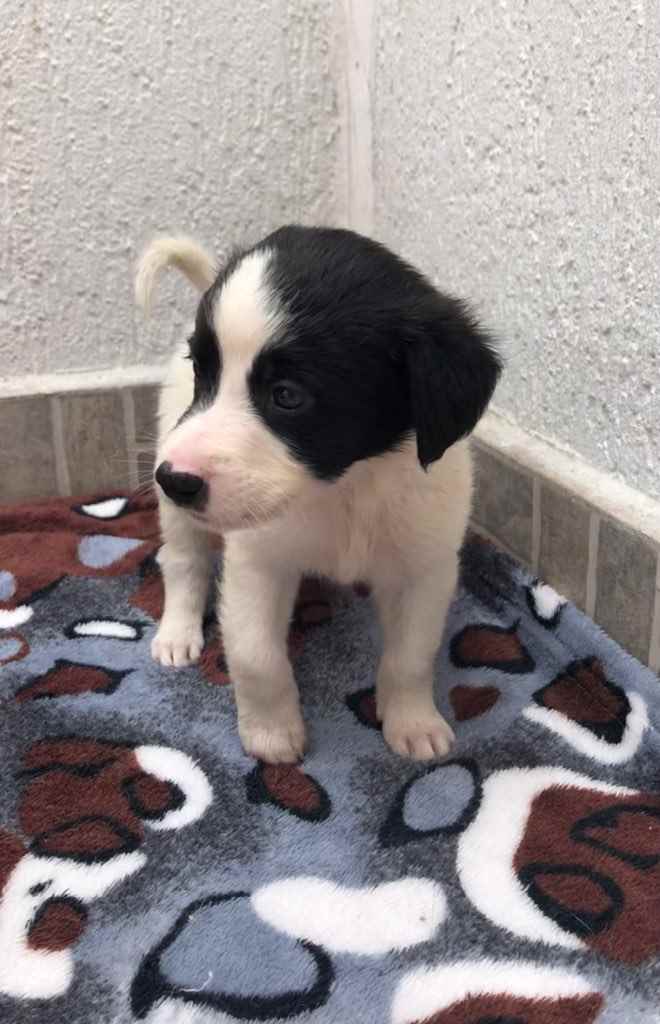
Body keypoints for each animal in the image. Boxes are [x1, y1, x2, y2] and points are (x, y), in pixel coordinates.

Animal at [136, 225, 501, 764]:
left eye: (287, 395)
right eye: (203, 372)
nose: (174, 479)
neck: (346, 488)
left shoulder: (424, 569)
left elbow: (411, 656)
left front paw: (413, 721)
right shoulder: (258, 564)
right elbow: (256, 655)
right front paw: (271, 734)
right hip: (178, 500)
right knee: (183, 561)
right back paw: (177, 632)